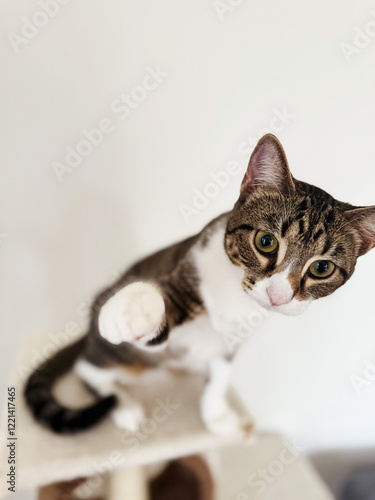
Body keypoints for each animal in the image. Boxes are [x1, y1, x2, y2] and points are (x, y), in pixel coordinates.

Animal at [24, 135, 375, 436]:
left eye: (322, 268)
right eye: (266, 241)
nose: (278, 295)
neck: (238, 296)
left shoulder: (234, 341)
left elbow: (220, 375)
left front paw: (217, 416)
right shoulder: (189, 269)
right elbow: (162, 310)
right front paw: (134, 308)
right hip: (116, 349)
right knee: (89, 368)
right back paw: (123, 405)